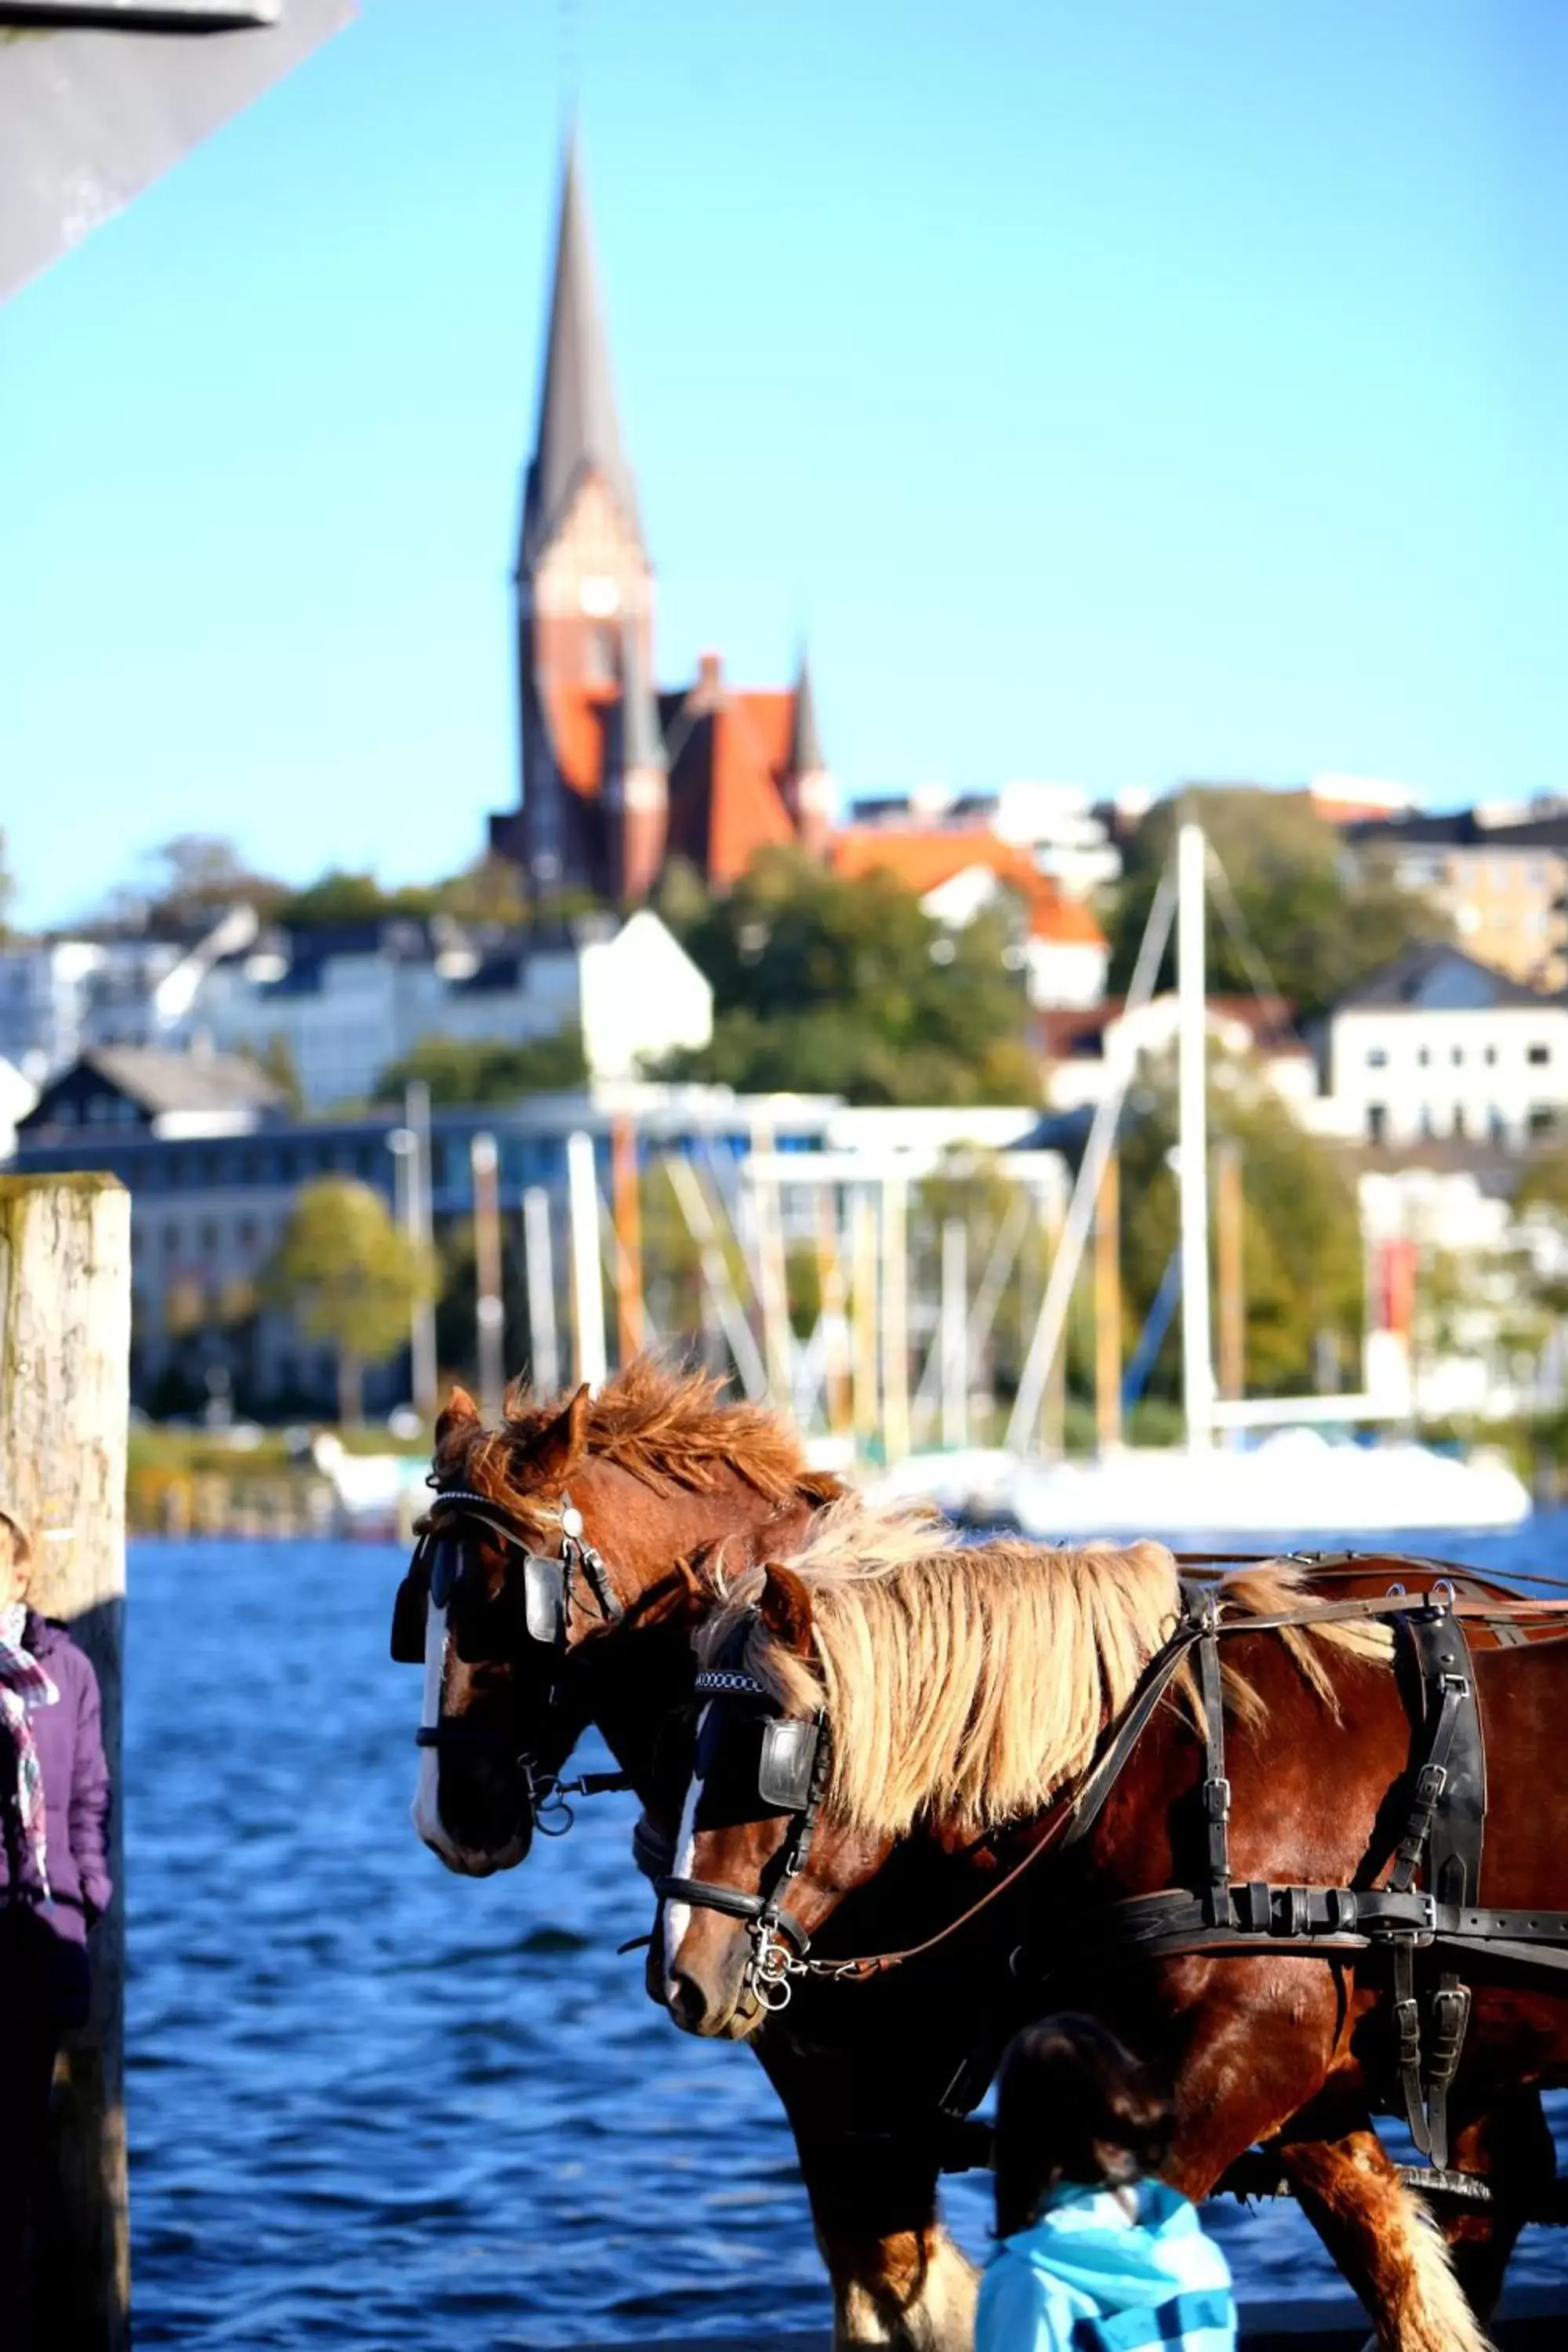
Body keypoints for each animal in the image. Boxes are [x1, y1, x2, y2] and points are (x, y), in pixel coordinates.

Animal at [667, 1505, 1568, 2352]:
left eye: (761, 1757)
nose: (682, 1975)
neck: (1160, 1756)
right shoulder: (1300, 2086)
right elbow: (1405, 2285)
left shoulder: (1249, 2056)